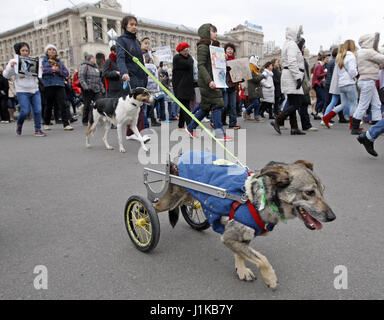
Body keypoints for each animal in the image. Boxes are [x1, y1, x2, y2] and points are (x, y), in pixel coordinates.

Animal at [153, 160, 336, 290]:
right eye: (309, 193)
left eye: (323, 191)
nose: (332, 217)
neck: (260, 200)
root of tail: (177, 160)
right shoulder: (228, 238)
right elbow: (262, 259)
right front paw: (270, 278)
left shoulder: (242, 237)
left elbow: (242, 254)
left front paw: (241, 270)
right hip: (170, 200)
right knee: (154, 205)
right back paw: (145, 222)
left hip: (189, 197)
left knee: (188, 205)